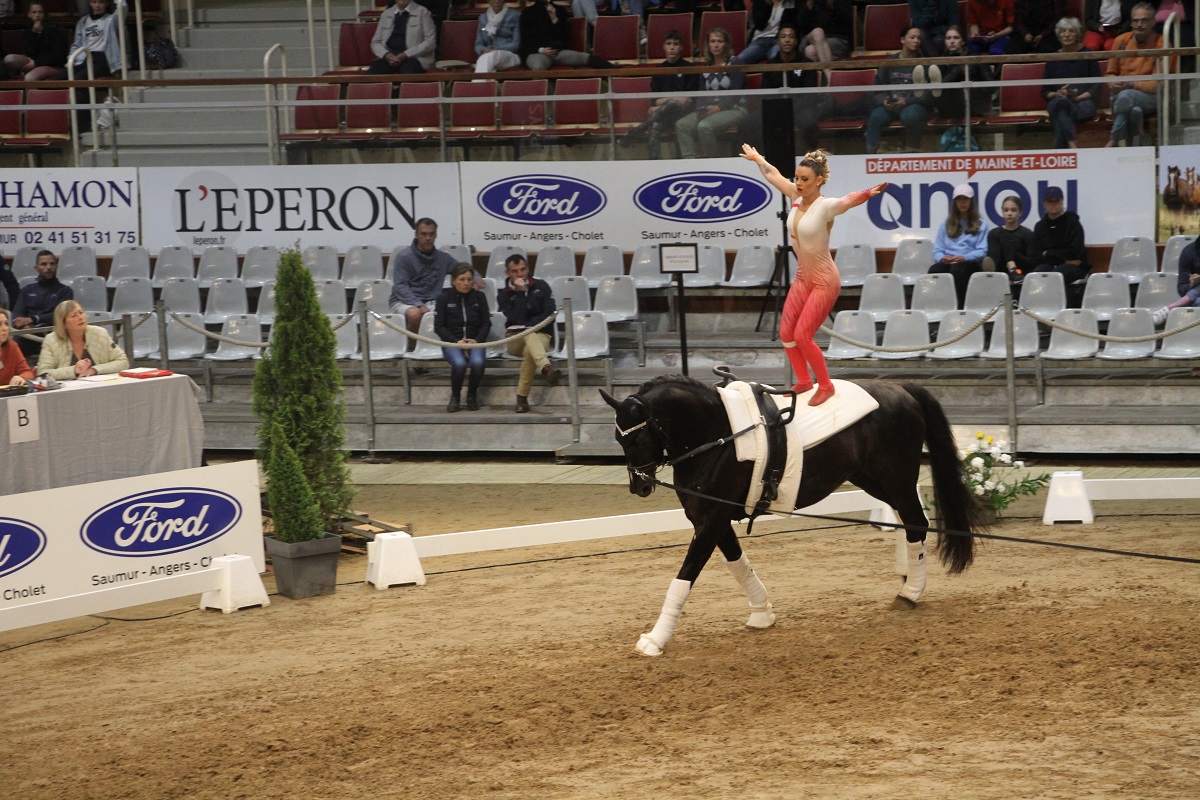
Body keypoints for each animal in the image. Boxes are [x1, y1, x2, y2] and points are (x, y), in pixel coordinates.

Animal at [604, 376, 988, 657]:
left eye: (638, 437)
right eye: (618, 439)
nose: (639, 486)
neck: (718, 436)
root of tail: (901, 389)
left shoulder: (711, 519)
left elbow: (683, 579)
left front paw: (654, 639)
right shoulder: (710, 519)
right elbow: (737, 564)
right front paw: (762, 613)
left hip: (895, 478)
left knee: (916, 523)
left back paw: (910, 592)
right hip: (875, 480)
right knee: (908, 521)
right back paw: (907, 580)